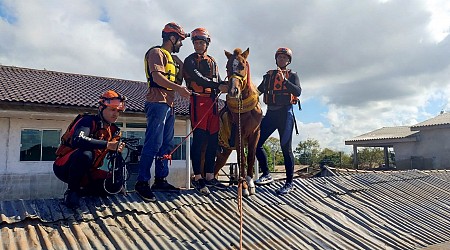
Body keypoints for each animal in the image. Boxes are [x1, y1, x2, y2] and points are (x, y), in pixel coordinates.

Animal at [214, 47, 264, 196]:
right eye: (227, 67)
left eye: (242, 66)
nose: (233, 91)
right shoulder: (238, 135)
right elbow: (241, 159)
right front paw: (244, 186)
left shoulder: (255, 133)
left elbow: (251, 157)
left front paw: (250, 183)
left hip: (223, 152)